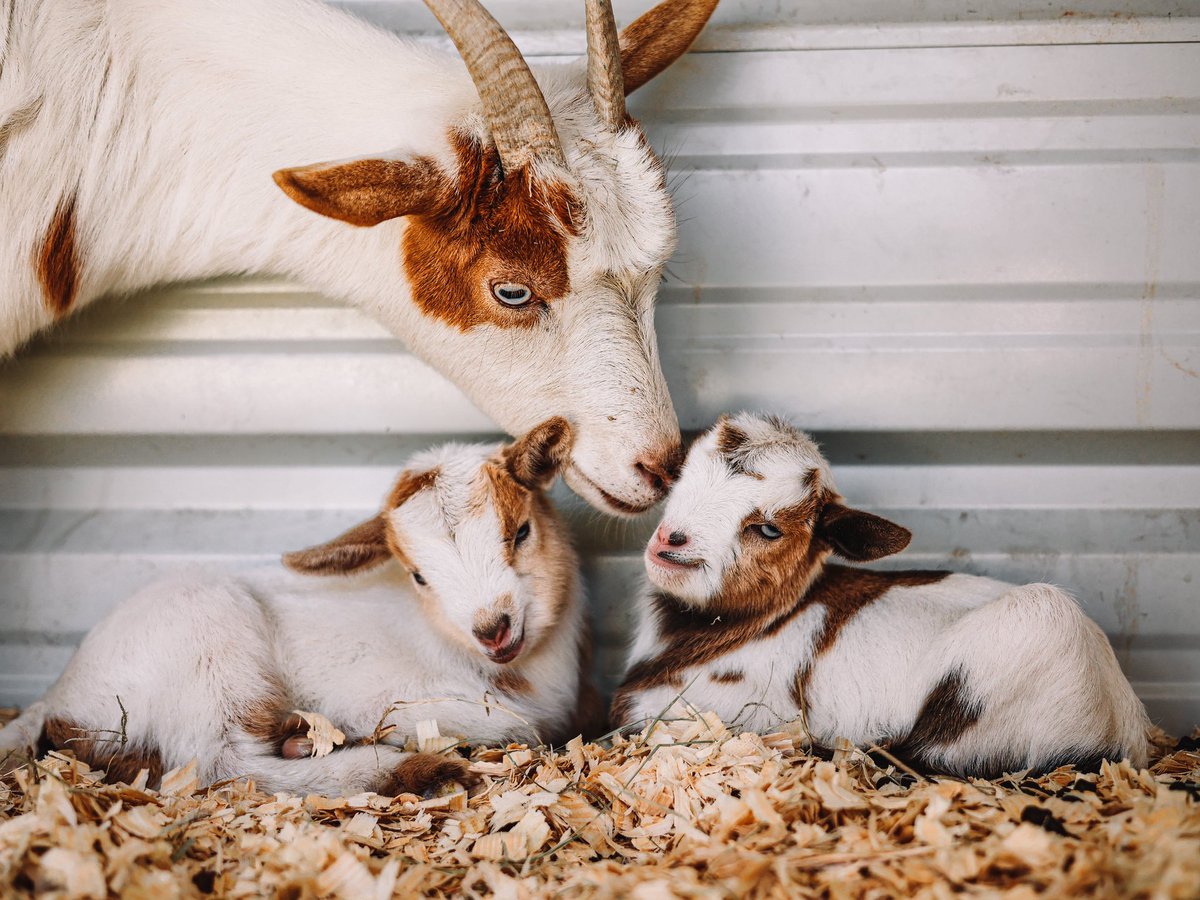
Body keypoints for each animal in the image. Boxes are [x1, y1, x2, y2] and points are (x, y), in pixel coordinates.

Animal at [0, 418, 595, 795]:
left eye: (521, 531)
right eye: (419, 576)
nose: (493, 629)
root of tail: (60, 695)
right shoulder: (392, 695)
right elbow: (518, 727)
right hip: (212, 644)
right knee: (221, 766)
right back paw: (409, 770)